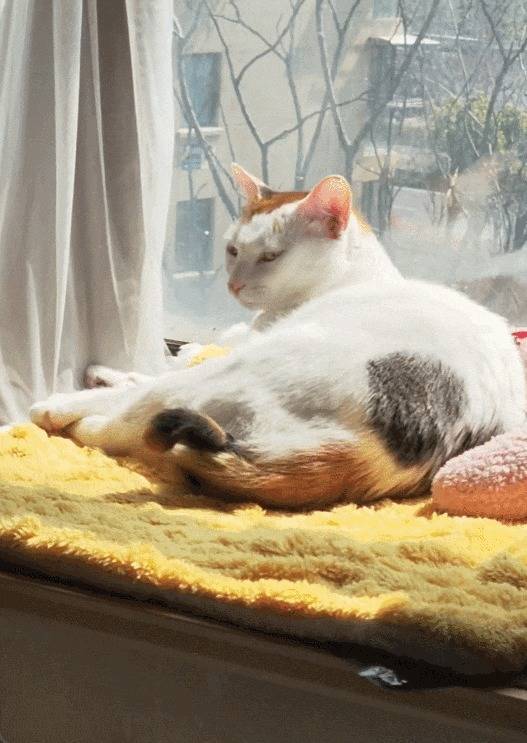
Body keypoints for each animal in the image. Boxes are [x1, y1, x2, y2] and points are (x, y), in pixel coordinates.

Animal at [30, 166, 526, 510]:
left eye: (270, 257)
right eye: (232, 249)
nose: (233, 284)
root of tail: (371, 453)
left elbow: (153, 377)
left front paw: (93, 387)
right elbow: (157, 365)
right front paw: (112, 370)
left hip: (237, 375)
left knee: (132, 420)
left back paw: (63, 412)